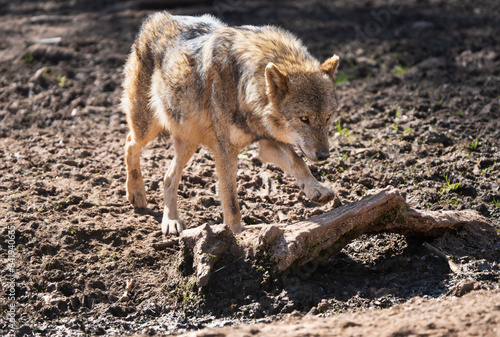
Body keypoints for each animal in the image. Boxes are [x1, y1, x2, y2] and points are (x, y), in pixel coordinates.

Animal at [122, 12, 340, 234]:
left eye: (328, 117)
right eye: (304, 119)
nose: (324, 155)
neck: (243, 86)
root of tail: (157, 17)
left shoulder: (267, 142)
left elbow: (298, 162)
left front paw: (317, 190)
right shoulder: (225, 149)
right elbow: (231, 198)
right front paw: (236, 234)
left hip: (188, 141)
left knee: (167, 177)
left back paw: (171, 220)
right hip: (148, 127)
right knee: (130, 142)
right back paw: (137, 193)